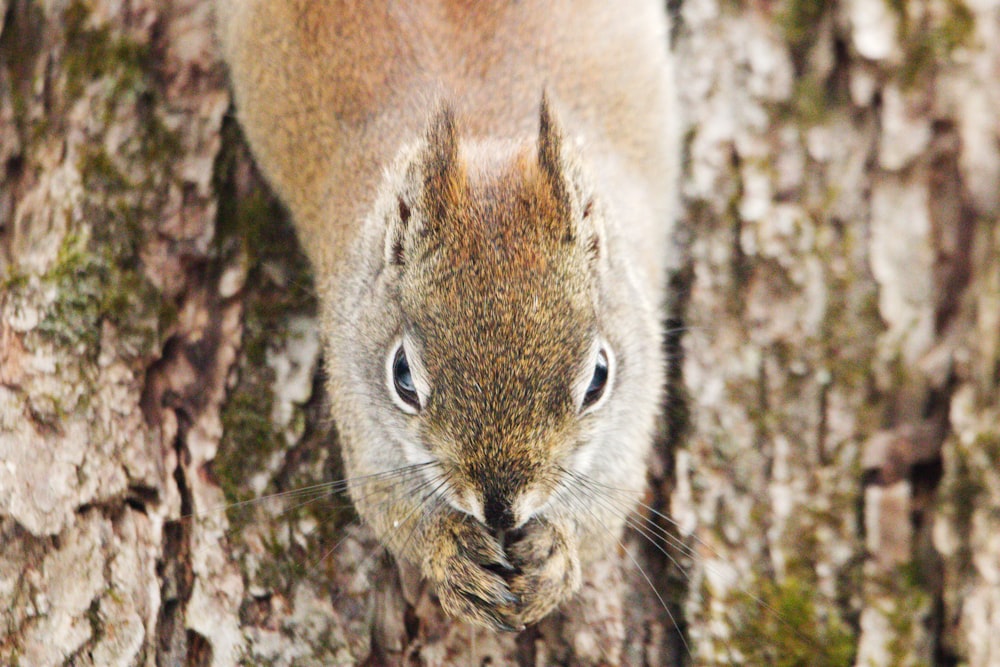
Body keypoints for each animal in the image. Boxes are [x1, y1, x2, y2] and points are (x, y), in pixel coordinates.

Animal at [214, 0, 676, 632]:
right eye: (402, 377)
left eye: (599, 379)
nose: (501, 510)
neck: (489, 136)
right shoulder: (359, 411)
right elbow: (389, 506)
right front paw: (450, 555)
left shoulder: (635, 397)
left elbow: (608, 499)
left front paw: (556, 556)